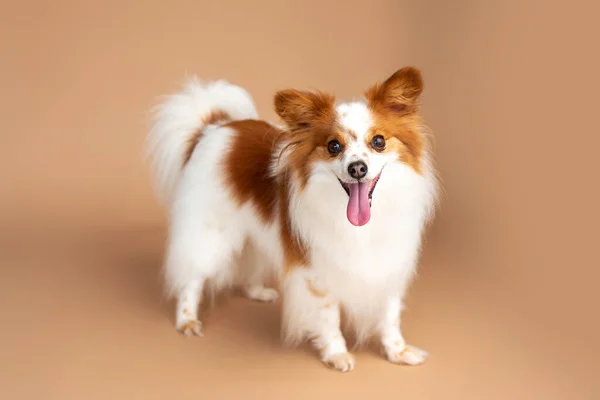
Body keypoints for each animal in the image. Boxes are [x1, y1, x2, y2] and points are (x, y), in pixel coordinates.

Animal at [144, 68, 438, 372]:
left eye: (378, 142)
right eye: (333, 146)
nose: (357, 168)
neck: (361, 224)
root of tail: (215, 127)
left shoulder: (388, 265)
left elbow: (389, 316)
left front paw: (398, 351)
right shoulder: (317, 271)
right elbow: (329, 316)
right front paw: (336, 354)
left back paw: (257, 292)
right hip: (210, 234)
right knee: (192, 277)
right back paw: (187, 319)